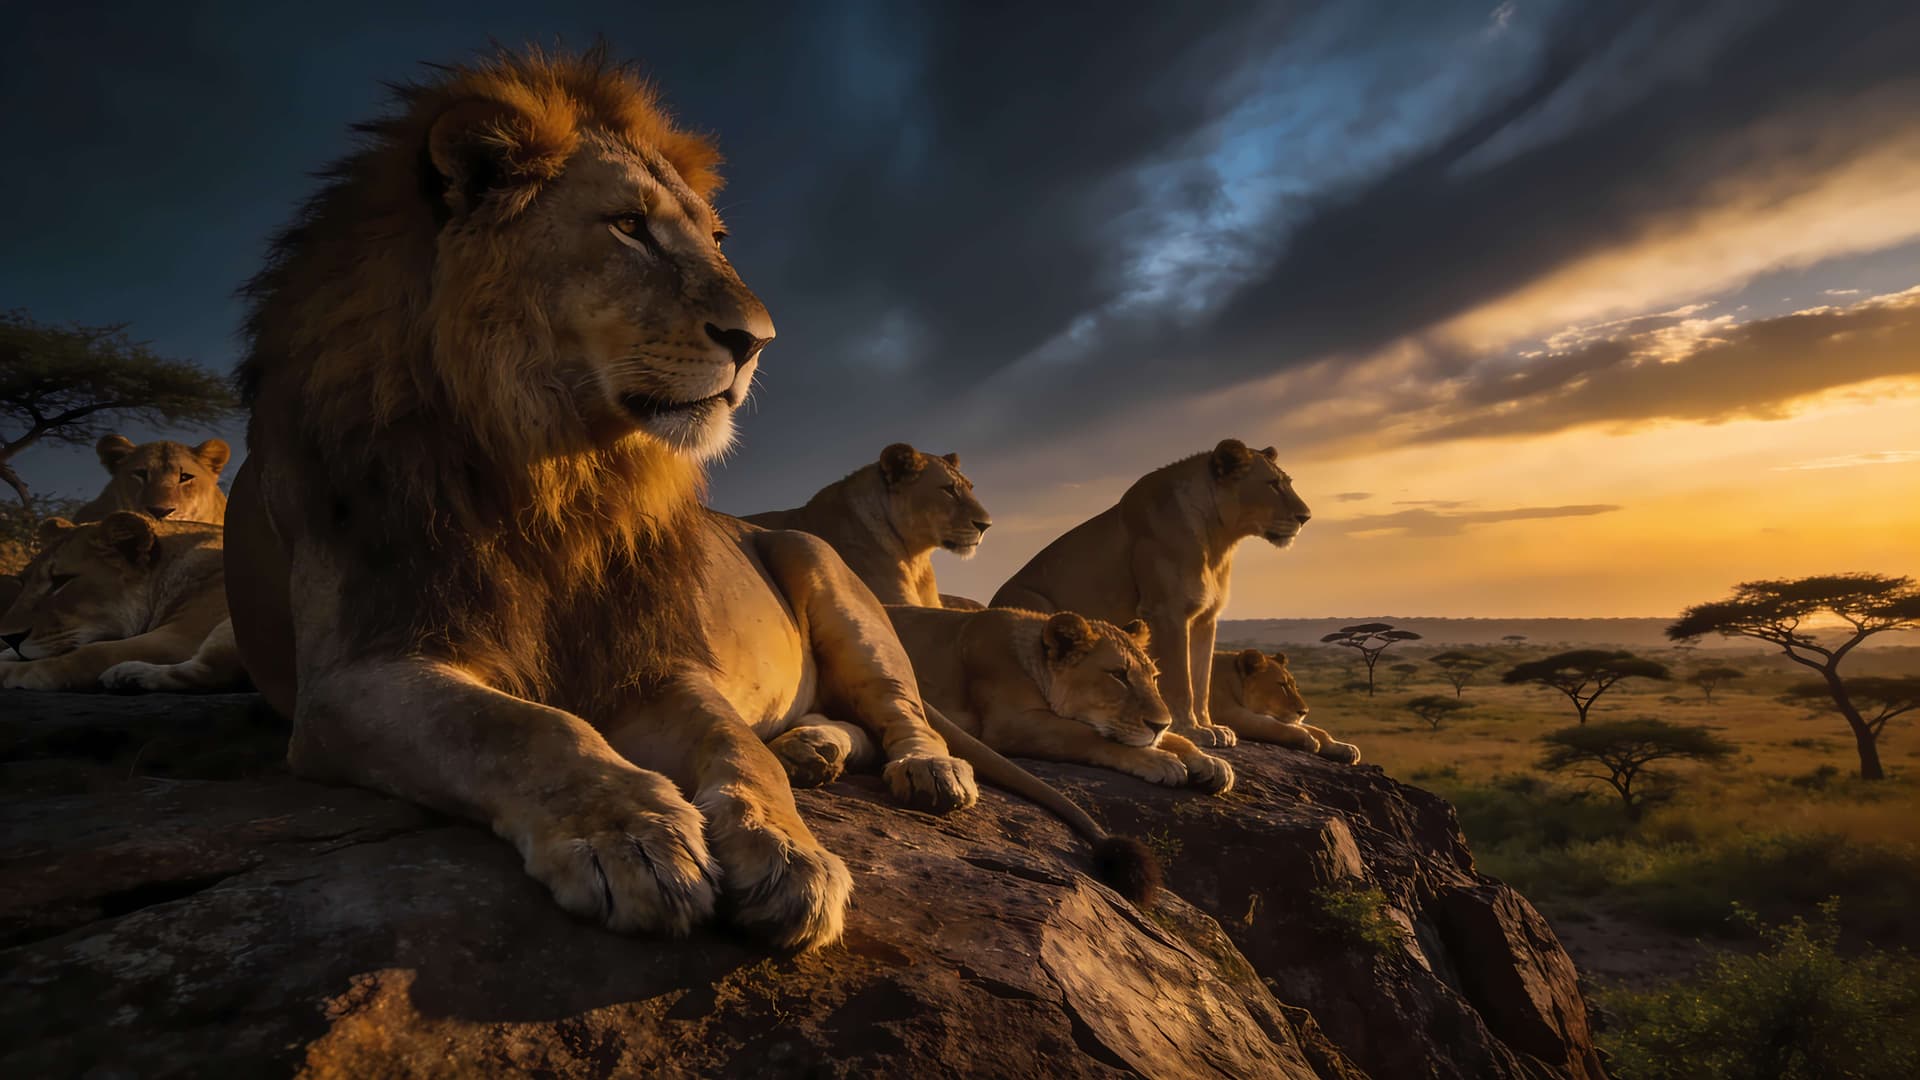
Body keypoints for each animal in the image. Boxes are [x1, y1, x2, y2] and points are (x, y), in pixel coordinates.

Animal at [0, 513, 241, 692]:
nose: (9, 637)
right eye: (23, 581)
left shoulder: (181, 636)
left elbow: (86, 655)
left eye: (61, 581)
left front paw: (7, 671)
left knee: (212, 671)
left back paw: (129, 675)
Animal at [886, 606, 1234, 793]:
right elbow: (1089, 735)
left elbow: (1173, 739)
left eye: (1154, 677)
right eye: (1118, 675)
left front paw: (1209, 762)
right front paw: (1160, 760)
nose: (1160, 723)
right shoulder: (1011, 724)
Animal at [992, 439, 1312, 748]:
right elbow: (1181, 680)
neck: (1219, 540)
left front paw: (1210, 727)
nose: (1306, 516)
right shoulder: (1166, 611)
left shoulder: (1206, 618)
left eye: (1288, 482)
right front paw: (1190, 730)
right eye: (1272, 484)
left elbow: (1201, 680)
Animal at [1210, 649, 1360, 764]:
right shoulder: (1227, 713)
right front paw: (1309, 739)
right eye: (1282, 685)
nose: (1304, 712)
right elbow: (1269, 725)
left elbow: (1319, 730)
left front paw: (1345, 748)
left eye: (1295, 686)